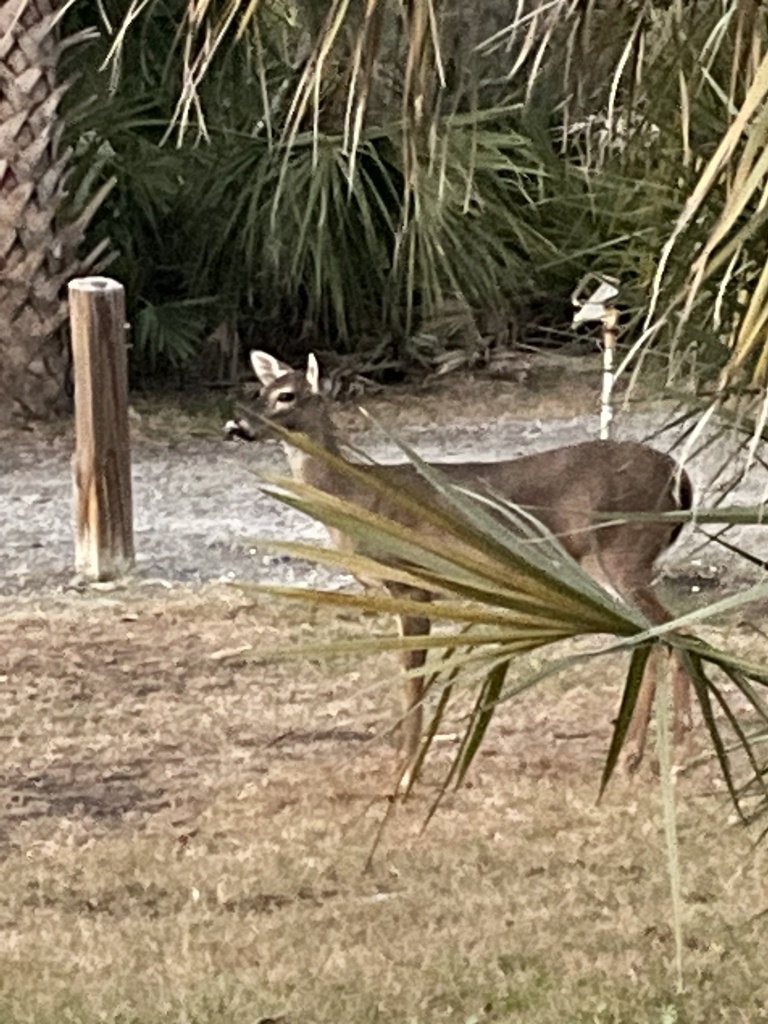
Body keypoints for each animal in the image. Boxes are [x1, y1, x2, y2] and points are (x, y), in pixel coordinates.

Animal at [226, 350, 694, 791]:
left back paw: (676, 753)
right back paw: (636, 757)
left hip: (621, 552)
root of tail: (681, 478)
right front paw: (400, 768)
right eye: (260, 390)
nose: (237, 425)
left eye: (288, 395)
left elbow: (412, 678)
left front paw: (405, 777)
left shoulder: (412, 582)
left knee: (677, 630)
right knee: (654, 637)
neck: (359, 498)